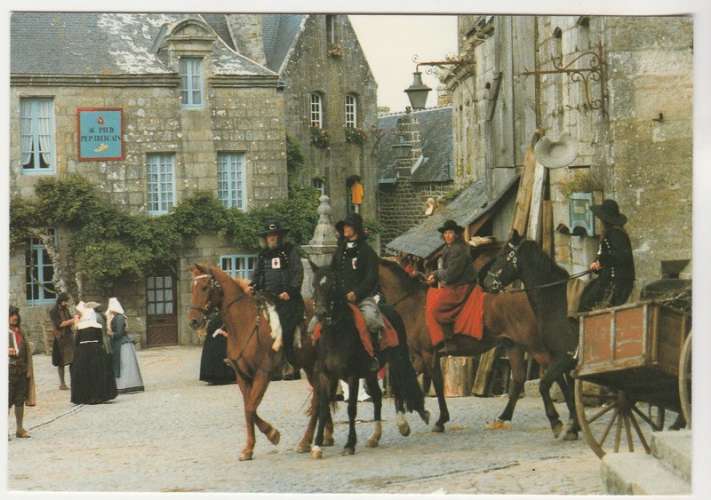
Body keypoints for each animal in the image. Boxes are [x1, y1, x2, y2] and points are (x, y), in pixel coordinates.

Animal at [188, 264, 336, 458]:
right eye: (193, 288)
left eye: (205, 287)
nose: (193, 321)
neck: (245, 323)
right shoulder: (242, 377)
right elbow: (248, 408)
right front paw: (249, 448)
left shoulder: (263, 374)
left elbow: (251, 408)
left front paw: (272, 434)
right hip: (310, 367)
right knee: (320, 396)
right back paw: (325, 436)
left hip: (314, 366)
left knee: (318, 399)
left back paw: (306, 441)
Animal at [308, 264, 428, 458]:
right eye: (314, 284)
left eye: (333, 285)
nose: (321, 313)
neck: (336, 335)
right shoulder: (326, 376)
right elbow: (323, 408)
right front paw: (317, 445)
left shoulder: (352, 376)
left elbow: (351, 409)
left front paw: (350, 444)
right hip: (371, 372)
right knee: (378, 396)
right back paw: (375, 436)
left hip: (397, 360)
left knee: (398, 389)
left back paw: (403, 425)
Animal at [378, 260, 560, 436]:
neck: (414, 305)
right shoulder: (421, 358)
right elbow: (400, 384)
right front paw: (405, 423)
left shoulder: (429, 355)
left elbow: (437, 385)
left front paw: (440, 420)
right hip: (514, 345)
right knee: (519, 378)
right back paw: (504, 417)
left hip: (534, 345)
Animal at [484, 230, 584, 442]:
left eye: (504, 253)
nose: (487, 283)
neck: (557, 303)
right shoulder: (559, 359)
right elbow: (567, 390)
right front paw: (573, 426)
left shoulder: (563, 358)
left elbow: (545, 385)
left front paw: (557, 422)